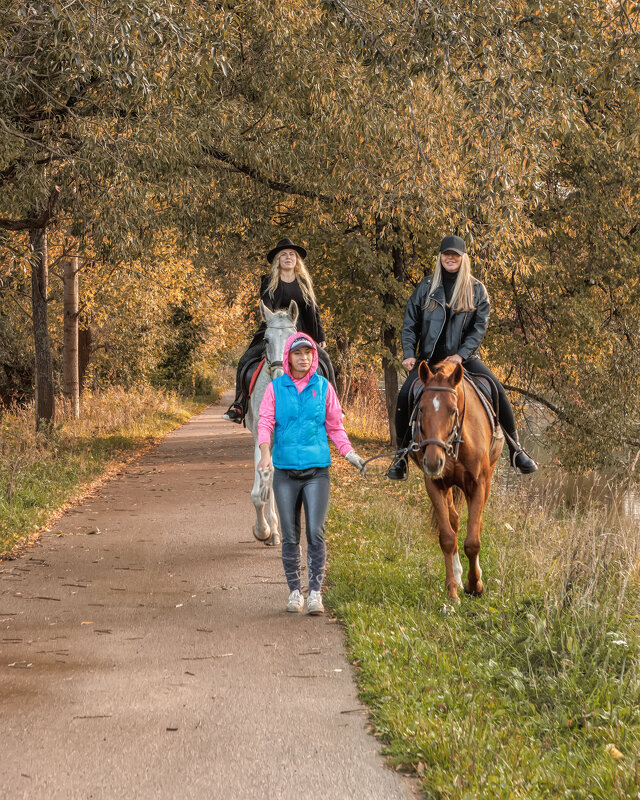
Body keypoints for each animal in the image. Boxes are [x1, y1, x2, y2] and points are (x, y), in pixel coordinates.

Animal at [412, 360, 502, 600]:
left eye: (453, 411)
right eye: (421, 409)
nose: (433, 462)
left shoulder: (478, 485)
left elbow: (472, 542)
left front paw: (475, 585)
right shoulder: (435, 485)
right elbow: (447, 537)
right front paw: (453, 588)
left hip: (487, 479)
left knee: (477, 524)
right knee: (454, 521)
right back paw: (459, 575)